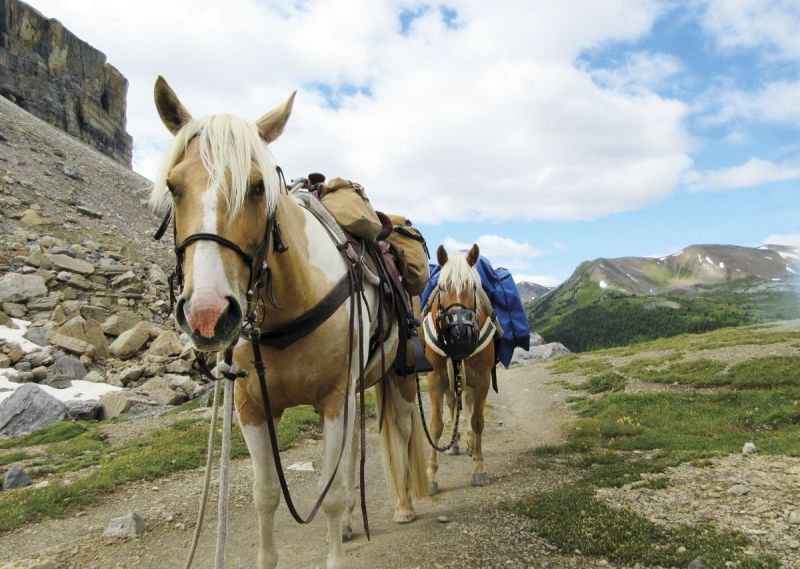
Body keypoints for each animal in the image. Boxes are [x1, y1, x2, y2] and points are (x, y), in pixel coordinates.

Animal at [149, 77, 428, 569]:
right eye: (173, 186)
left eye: (258, 187)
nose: (208, 314)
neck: (293, 304)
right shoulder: (253, 408)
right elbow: (266, 494)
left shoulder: (336, 400)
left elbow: (331, 493)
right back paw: (355, 523)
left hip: (400, 375)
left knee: (402, 430)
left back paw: (404, 506)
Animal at [421, 244, 496, 494]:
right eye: (442, 287)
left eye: (473, 286)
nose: (460, 332)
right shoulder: (435, 378)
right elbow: (435, 426)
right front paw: (431, 476)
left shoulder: (482, 379)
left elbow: (477, 421)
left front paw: (479, 469)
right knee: (454, 404)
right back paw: (454, 444)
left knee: (470, 407)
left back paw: (471, 445)